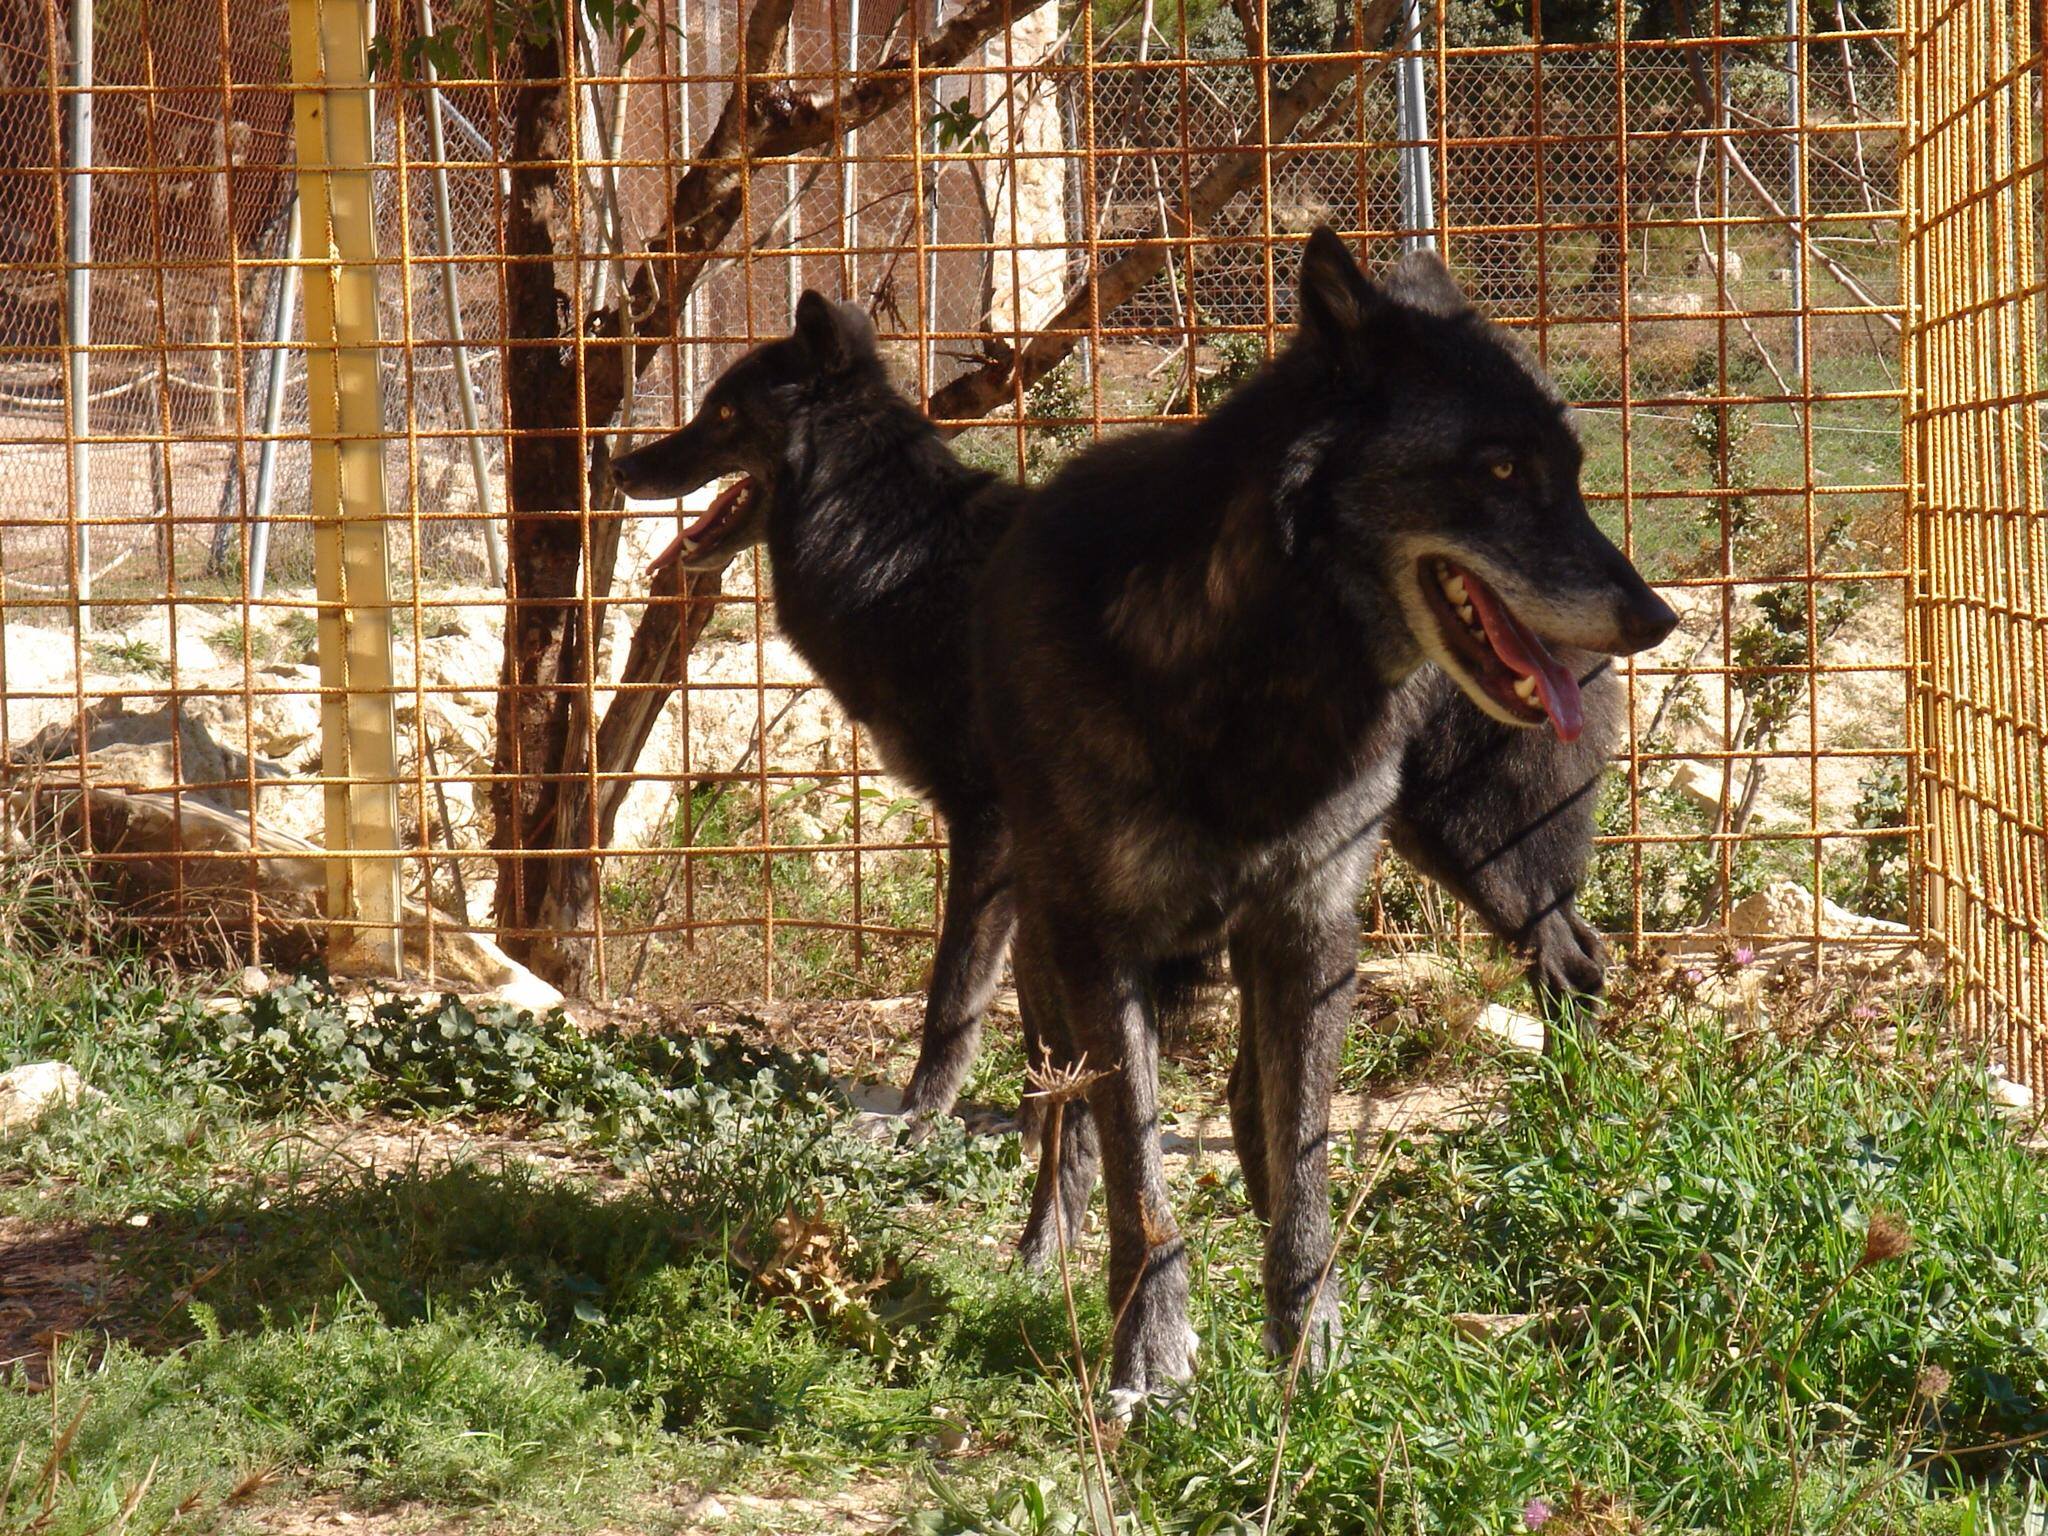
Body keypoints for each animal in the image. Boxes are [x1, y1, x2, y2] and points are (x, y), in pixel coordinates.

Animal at [978, 231, 1679, 1409]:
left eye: (1576, 476)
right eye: (1499, 470)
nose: (1654, 619)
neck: (1254, 668)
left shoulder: (1311, 921)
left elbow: (1302, 1150)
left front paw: (1308, 1340)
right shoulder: (1101, 939)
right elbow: (1136, 1164)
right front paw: (1151, 1352)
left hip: (1474, 851)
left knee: (1571, 961)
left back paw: (1569, 1125)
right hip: (1044, 948)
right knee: (1080, 1111)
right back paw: (1042, 1254)